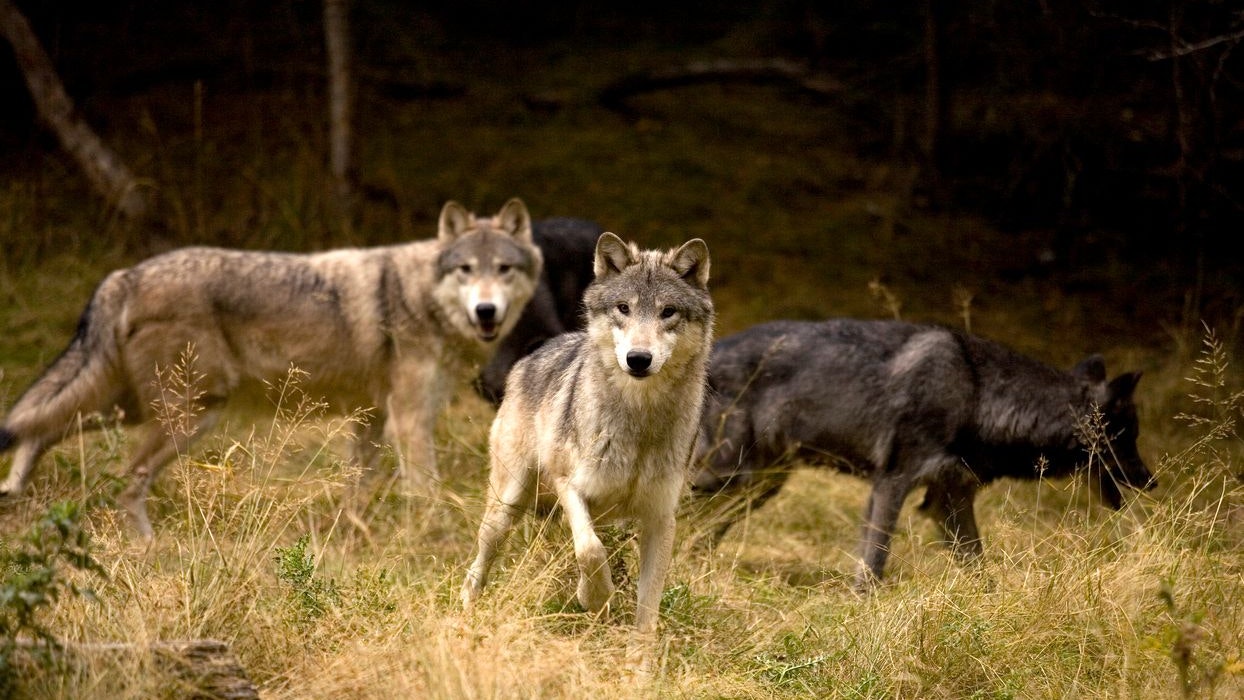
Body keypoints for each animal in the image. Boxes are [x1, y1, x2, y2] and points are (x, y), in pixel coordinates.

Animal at [0, 198, 543, 538]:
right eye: (466, 270)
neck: (418, 296)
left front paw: (354, 537)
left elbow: (356, 489)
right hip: (187, 416)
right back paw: (147, 546)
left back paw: (13, 490)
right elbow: (426, 489)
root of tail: (125, 274)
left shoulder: (371, 417)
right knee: (124, 477)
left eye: (504, 270)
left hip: (132, 408)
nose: (486, 312)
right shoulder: (409, 419)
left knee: (40, 428)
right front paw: (433, 535)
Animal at [461, 232, 714, 633]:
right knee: (478, 565)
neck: (638, 421)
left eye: (668, 311)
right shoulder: (569, 484)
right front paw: (596, 598)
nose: (638, 359)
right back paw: (465, 612)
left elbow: (647, 610)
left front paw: (638, 651)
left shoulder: (661, 519)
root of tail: (536, 351)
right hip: (506, 506)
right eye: (624, 308)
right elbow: (591, 551)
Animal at [689, 318, 1154, 590]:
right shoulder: (892, 484)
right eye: (1126, 437)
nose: (1151, 480)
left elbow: (978, 566)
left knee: (702, 532)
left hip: (758, 487)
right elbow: (874, 562)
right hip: (725, 476)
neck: (978, 394)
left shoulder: (948, 500)